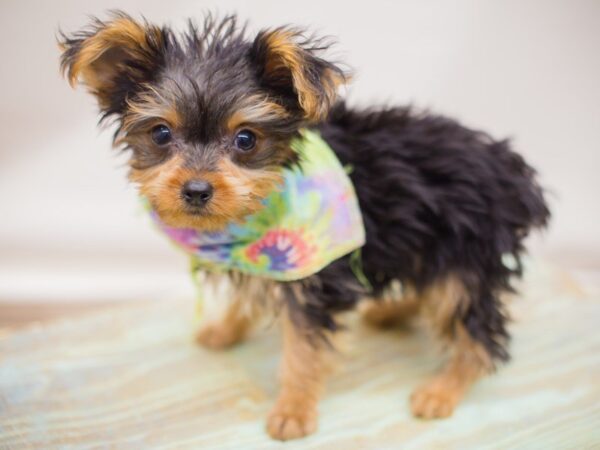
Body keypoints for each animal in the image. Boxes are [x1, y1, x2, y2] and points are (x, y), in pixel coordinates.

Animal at [58, 12, 552, 442]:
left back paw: (442, 390)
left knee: (475, 329)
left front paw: (293, 411)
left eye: (246, 140)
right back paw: (392, 311)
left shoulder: (312, 281)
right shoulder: (261, 259)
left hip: (468, 251)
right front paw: (227, 328)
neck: (257, 216)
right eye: (160, 134)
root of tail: (511, 171)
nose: (196, 190)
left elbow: (302, 350)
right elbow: (247, 296)